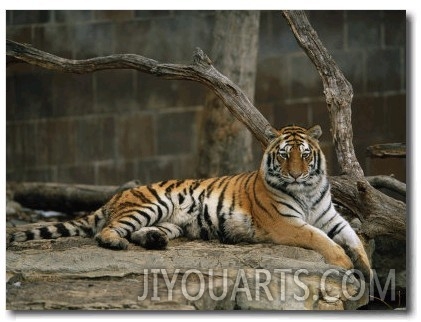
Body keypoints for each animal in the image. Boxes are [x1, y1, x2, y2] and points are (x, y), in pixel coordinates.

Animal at [8, 124, 370, 280]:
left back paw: (153, 240)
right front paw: (344, 263)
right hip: (151, 205)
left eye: (305, 155)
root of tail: (116, 195)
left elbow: (354, 237)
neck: (307, 191)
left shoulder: (331, 217)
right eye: (284, 156)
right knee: (106, 230)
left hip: (171, 221)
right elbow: (319, 238)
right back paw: (116, 243)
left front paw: (367, 269)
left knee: (140, 232)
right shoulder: (286, 223)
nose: (295, 174)